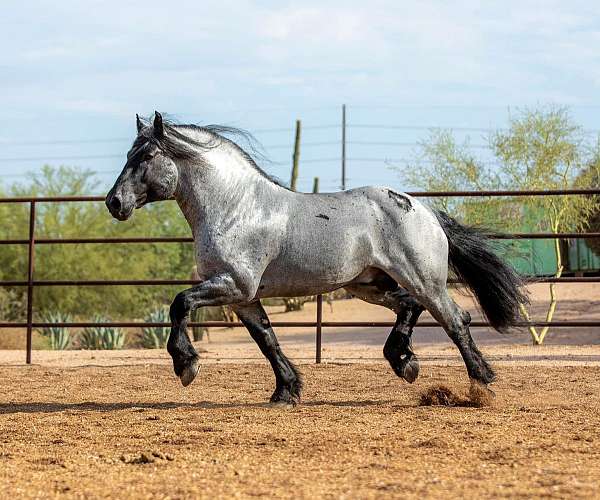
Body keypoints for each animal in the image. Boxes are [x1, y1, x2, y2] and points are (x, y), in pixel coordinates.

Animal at [105, 112, 528, 406]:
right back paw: (404, 362)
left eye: (147, 155)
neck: (236, 207)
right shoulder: (243, 298)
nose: (114, 203)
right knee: (412, 308)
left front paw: (186, 365)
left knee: (455, 319)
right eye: (127, 154)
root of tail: (424, 210)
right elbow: (267, 340)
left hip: (422, 279)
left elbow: (179, 303)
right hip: (369, 284)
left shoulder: (233, 284)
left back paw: (481, 383)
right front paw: (286, 392)